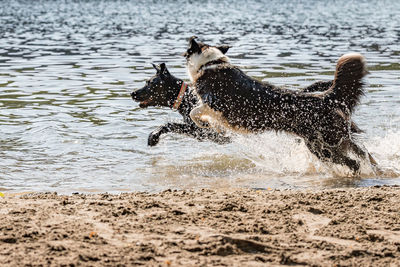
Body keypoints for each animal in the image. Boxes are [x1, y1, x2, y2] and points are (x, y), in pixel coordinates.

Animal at [184, 36, 376, 173]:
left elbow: (194, 112)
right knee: (364, 153)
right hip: (338, 139)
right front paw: (215, 127)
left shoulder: (215, 104)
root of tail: (325, 97)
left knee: (353, 162)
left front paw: (204, 123)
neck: (211, 64)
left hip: (322, 146)